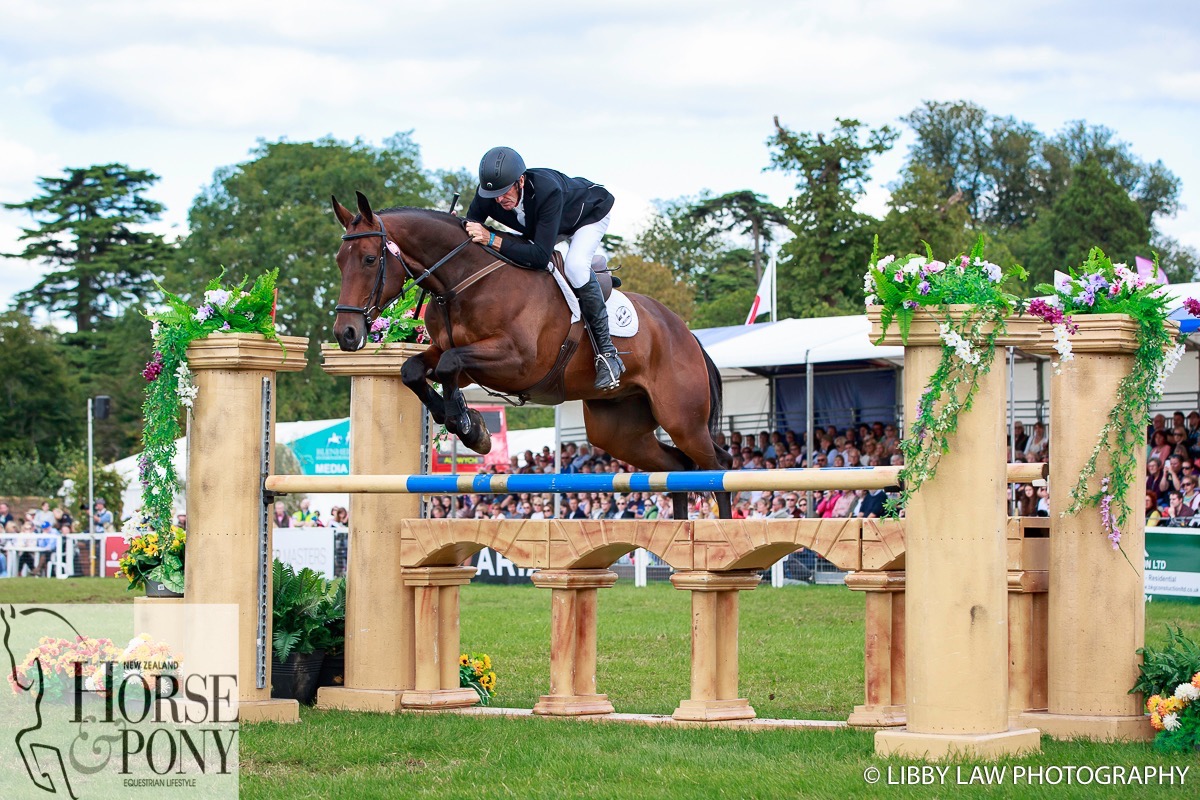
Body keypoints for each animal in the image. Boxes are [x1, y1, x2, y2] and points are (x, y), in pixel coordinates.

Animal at [333, 193, 734, 520]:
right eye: (339, 261)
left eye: (369, 259)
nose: (345, 333)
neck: (464, 281)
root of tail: (686, 333)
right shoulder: (456, 356)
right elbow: (413, 369)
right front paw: (468, 424)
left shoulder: (517, 362)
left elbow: (448, 365)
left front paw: (467, 424)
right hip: (618, 431)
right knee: (677, 467)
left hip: (681, 418)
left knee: (719, 465)